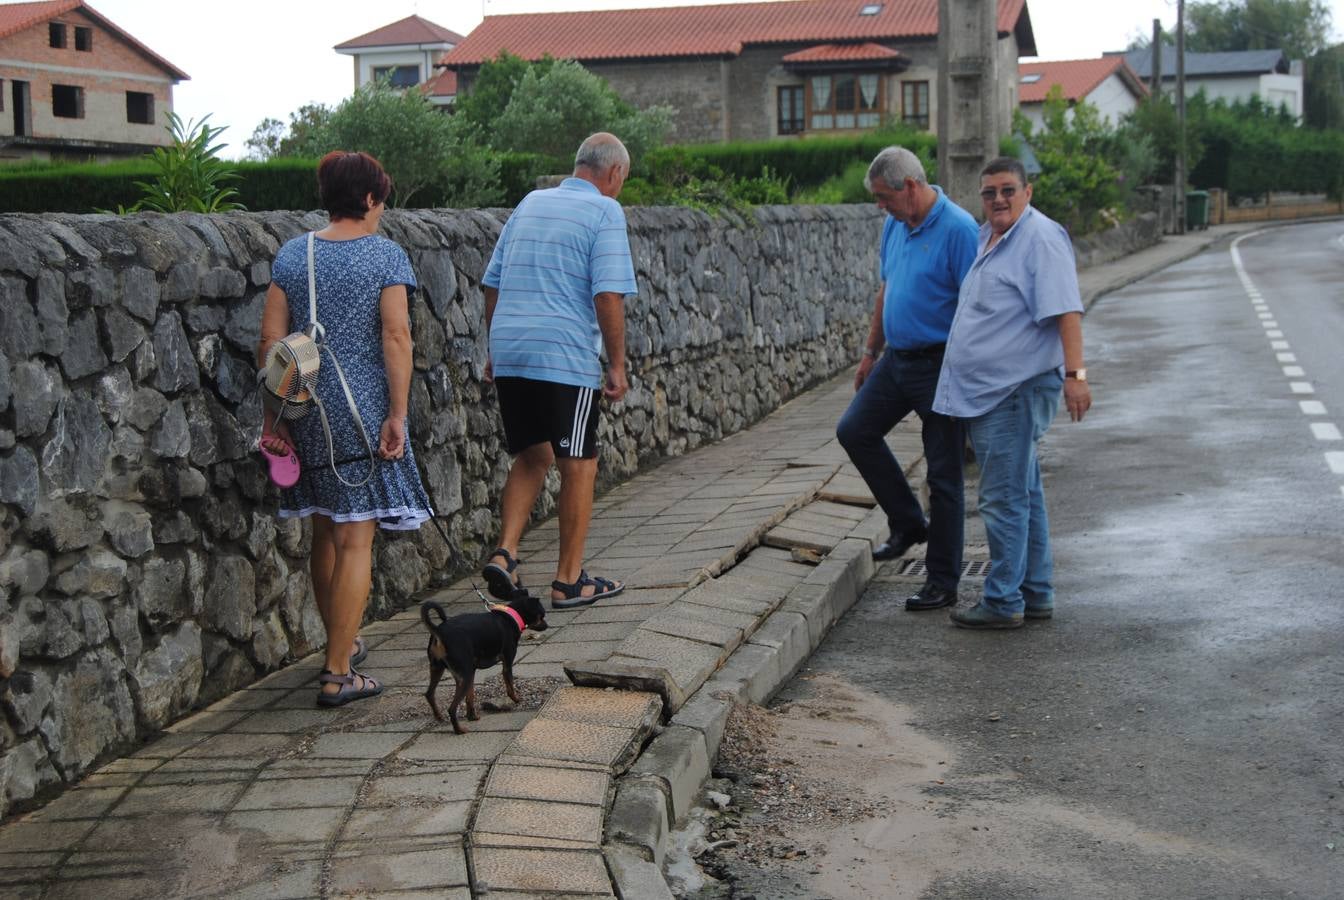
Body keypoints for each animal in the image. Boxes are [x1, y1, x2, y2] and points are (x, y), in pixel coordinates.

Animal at [419, 591, 545, 730]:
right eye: (541, 616)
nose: (547, 625)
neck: (512, 616)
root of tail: (439, 631)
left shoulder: (472, 672)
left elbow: (470, 697)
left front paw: (472, 717)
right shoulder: (507, 664)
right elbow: (510, 686)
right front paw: (517, 700)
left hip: (441, 670)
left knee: (430, 694)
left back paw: (440, 717)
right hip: (465, 675)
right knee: (451, 708)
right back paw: (459, 730)